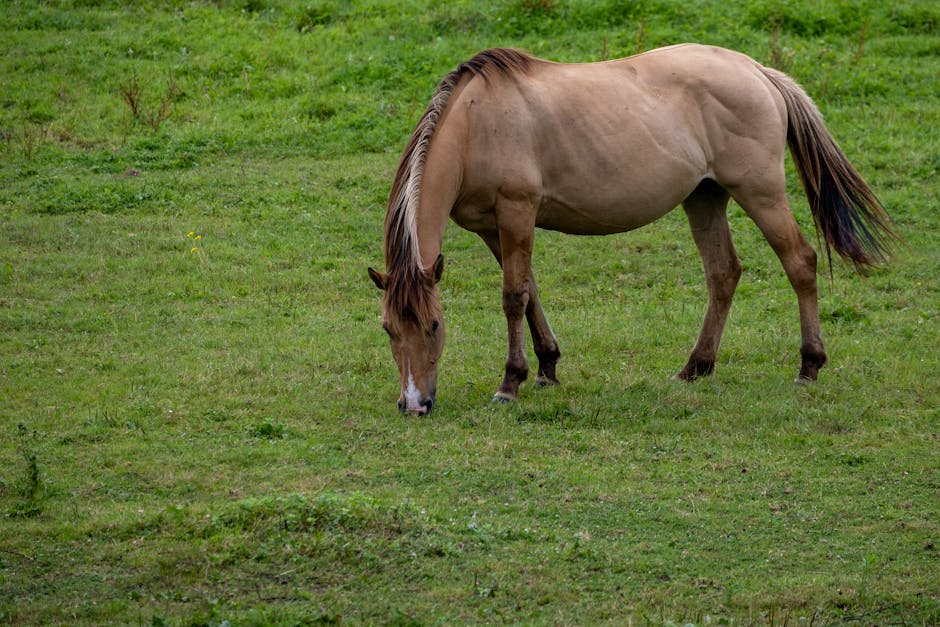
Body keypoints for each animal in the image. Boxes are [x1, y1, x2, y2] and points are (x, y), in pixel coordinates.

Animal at [368, 45, 896, 418]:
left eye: (434, 326)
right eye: (388, 328)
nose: (414, 404)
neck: (476, 122)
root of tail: (757, 71)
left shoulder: (516, 214)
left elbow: (514, 297)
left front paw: (510, 383)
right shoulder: (493, 229)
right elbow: (531, 291)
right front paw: (548, 368)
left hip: (760, 192)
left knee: (800, 262)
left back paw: (808, 366)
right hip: (704, 198)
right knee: (723, 273)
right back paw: (694, 368)